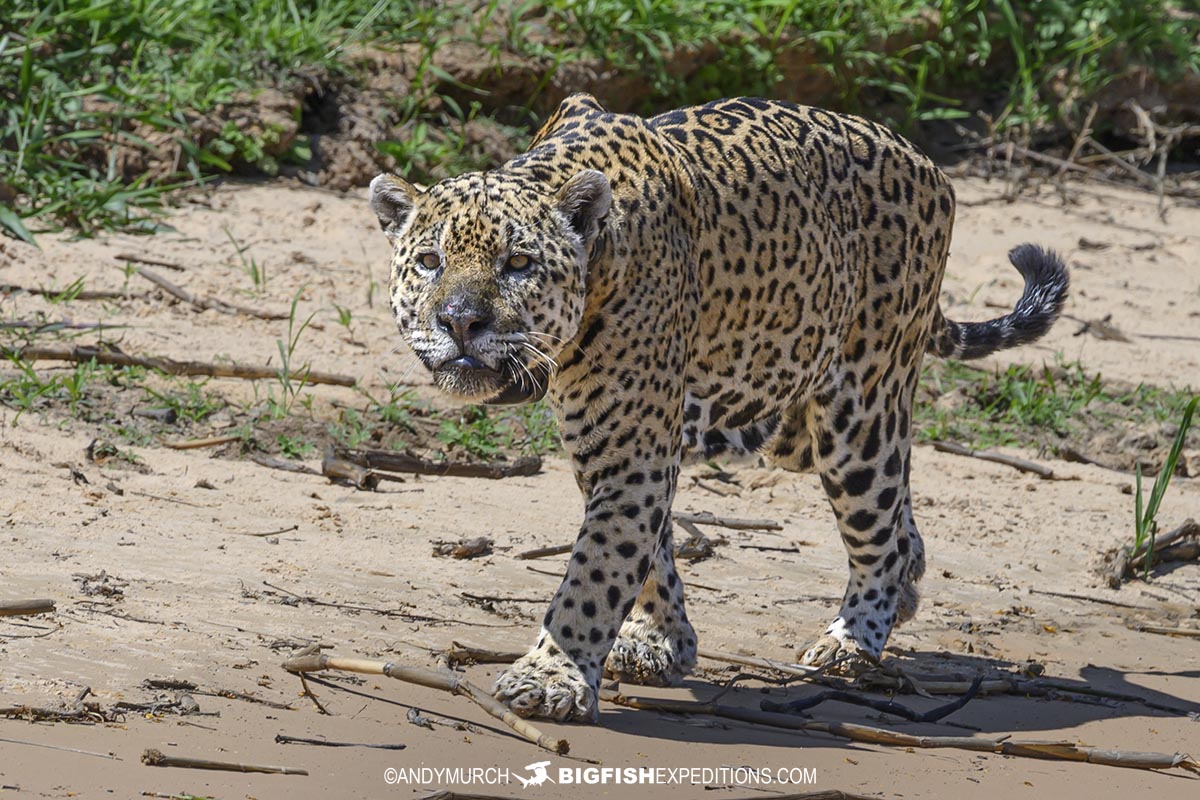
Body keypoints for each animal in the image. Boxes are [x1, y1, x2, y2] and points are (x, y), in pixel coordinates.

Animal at [369, 93, 1068, 723]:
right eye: (429, 261)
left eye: (517, 264)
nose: (460, 321)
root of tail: (931, 165)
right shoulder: (616, 448)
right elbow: (648, 551)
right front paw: (661, 641)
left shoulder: (631, 453)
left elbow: (596, 572)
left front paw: (551, 676)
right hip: (792, 421)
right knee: (900, 516)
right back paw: (907, 588)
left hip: (860, 413)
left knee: (879, 527)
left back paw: (852, 640)